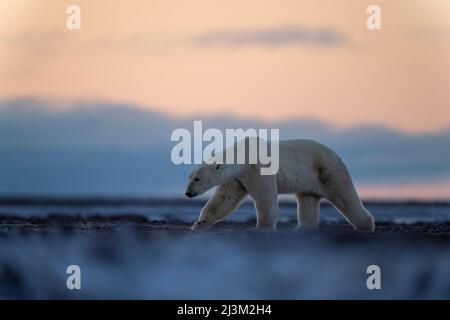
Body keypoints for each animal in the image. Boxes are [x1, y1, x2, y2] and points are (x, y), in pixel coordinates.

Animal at [185, 139, 374, 231]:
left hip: (327, 169)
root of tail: (335, 154)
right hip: (308, 180)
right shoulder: (238, 177)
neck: (245, 155)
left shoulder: (258, 168)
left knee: (344, 195)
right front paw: (199, 224)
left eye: (197, 179)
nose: (187, 193)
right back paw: (300, 228)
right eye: (190, 177)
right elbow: (224, 198)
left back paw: (366, 225)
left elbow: (265, 197)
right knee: (307, 200)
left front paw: (262, 227)